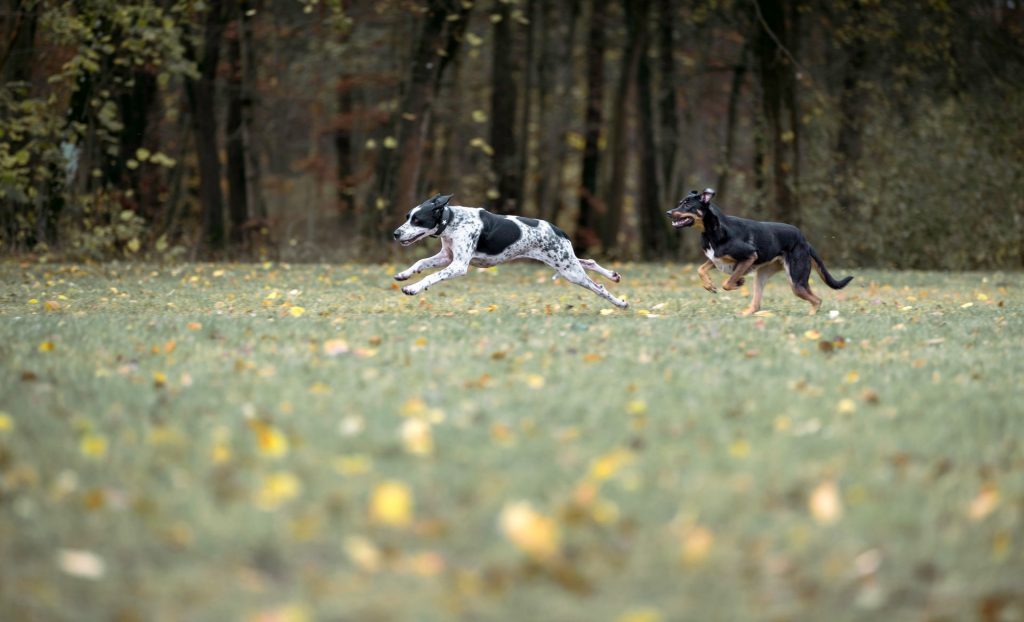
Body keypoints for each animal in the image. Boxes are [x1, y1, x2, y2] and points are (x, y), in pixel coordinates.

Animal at [395, 193, 626, 307]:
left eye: (417, 220)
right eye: (407, 217)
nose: (395, 233)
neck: (452, 220)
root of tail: (559, 230)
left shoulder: (458, 265)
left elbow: (430, 277)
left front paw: (413, 288)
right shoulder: (446, 256)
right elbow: (420, 263)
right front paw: (404, 275)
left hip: (570, 270)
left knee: (598, 287)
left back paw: (620, 303)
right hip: (565, 263)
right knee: (589, 262)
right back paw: (613, 276)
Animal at [667, 188, 851, 315]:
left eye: (688, 205)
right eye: (680, 202)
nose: (668, 212)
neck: (713, 230)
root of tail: (804, 240)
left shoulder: (749, 255)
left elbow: (728, 282)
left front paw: (738, 282)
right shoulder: (715, 259)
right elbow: (701, 269)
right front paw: (709, 285)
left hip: (796, 281)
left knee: (817, 300)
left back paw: (811, 316)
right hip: (762, 276)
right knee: (756, 305)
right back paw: (745, 314)